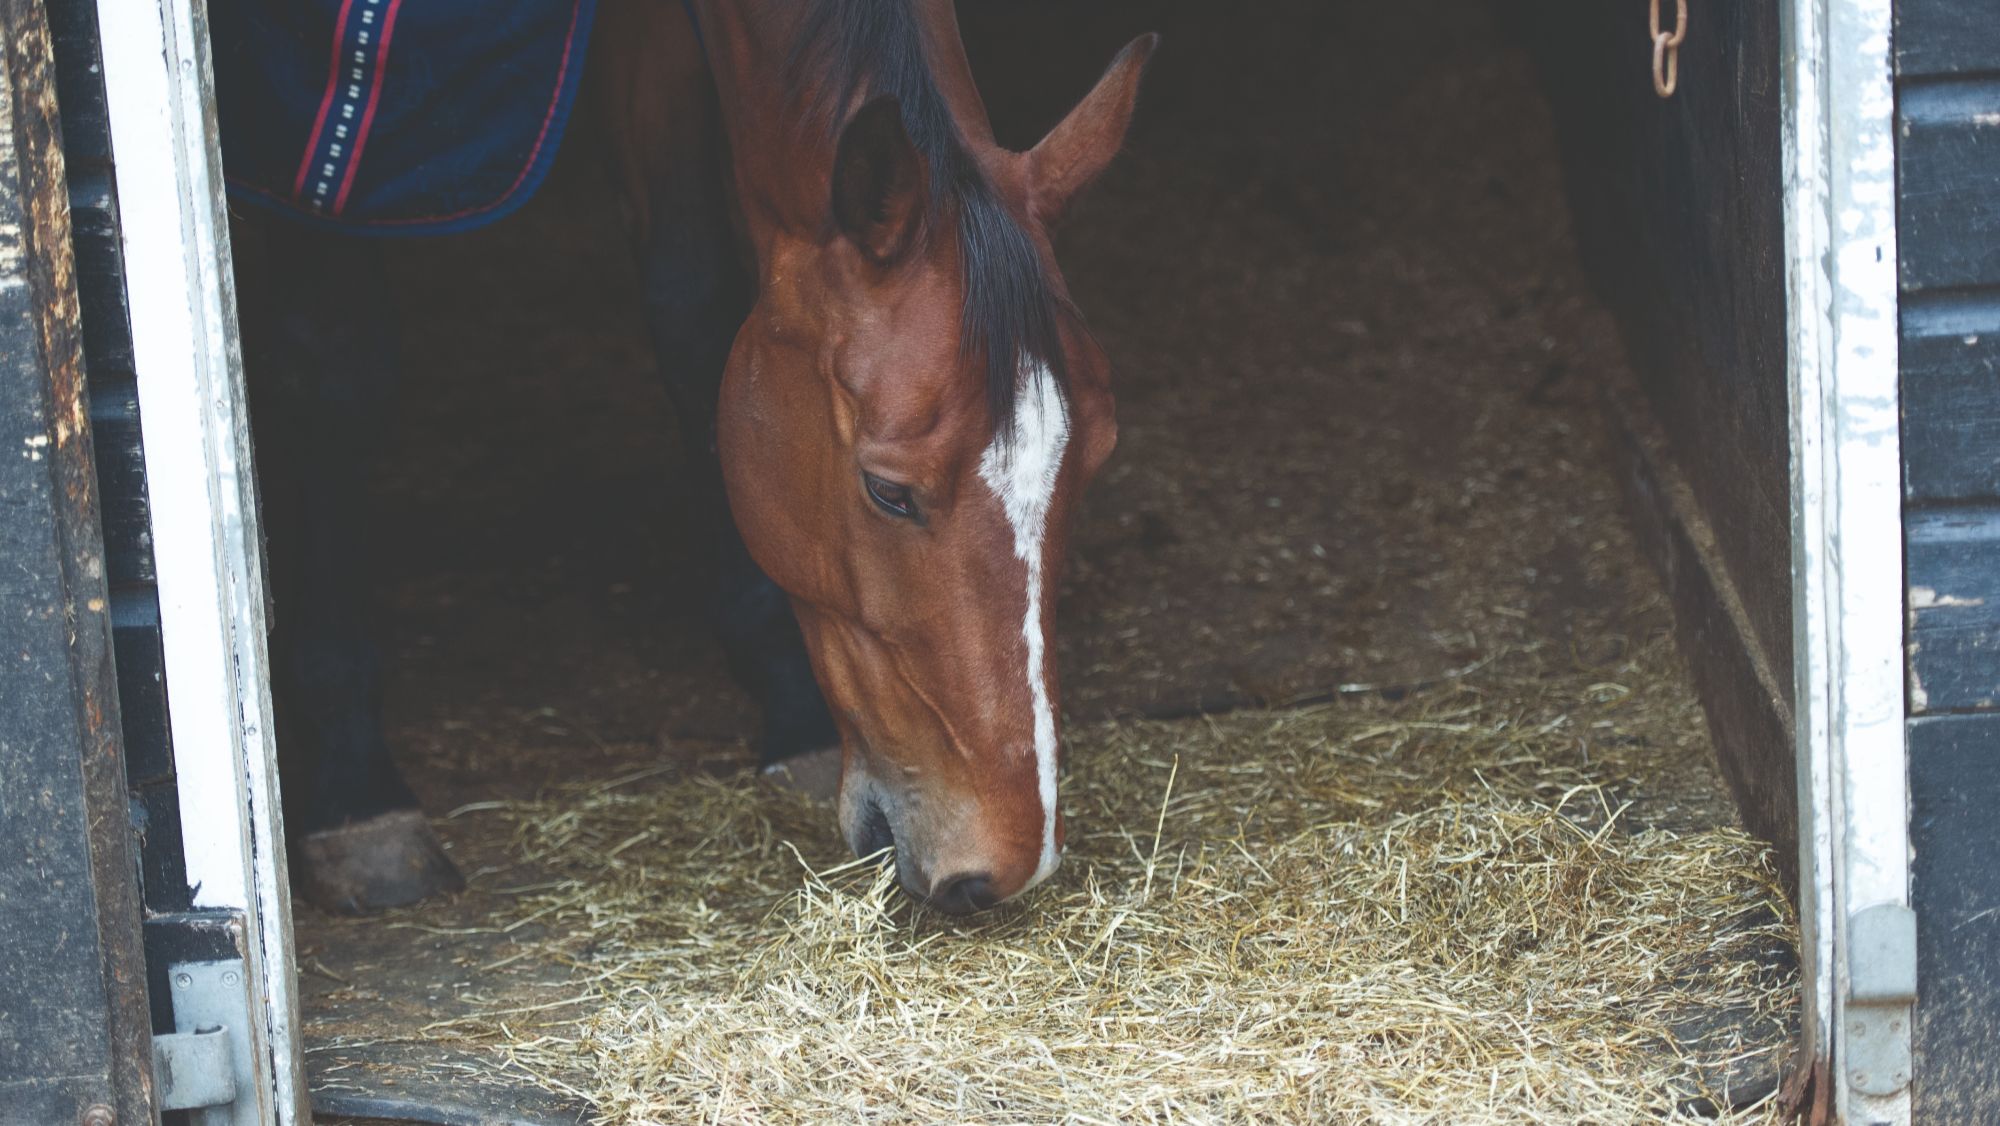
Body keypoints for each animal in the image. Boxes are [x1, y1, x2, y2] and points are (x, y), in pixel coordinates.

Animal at [224, 0, 1154, 915]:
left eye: (1095, 459)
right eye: (887, 492)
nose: (1004, 865)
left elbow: (692, 308)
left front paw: (783, 696)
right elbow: (336, 368)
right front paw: (354, 785)